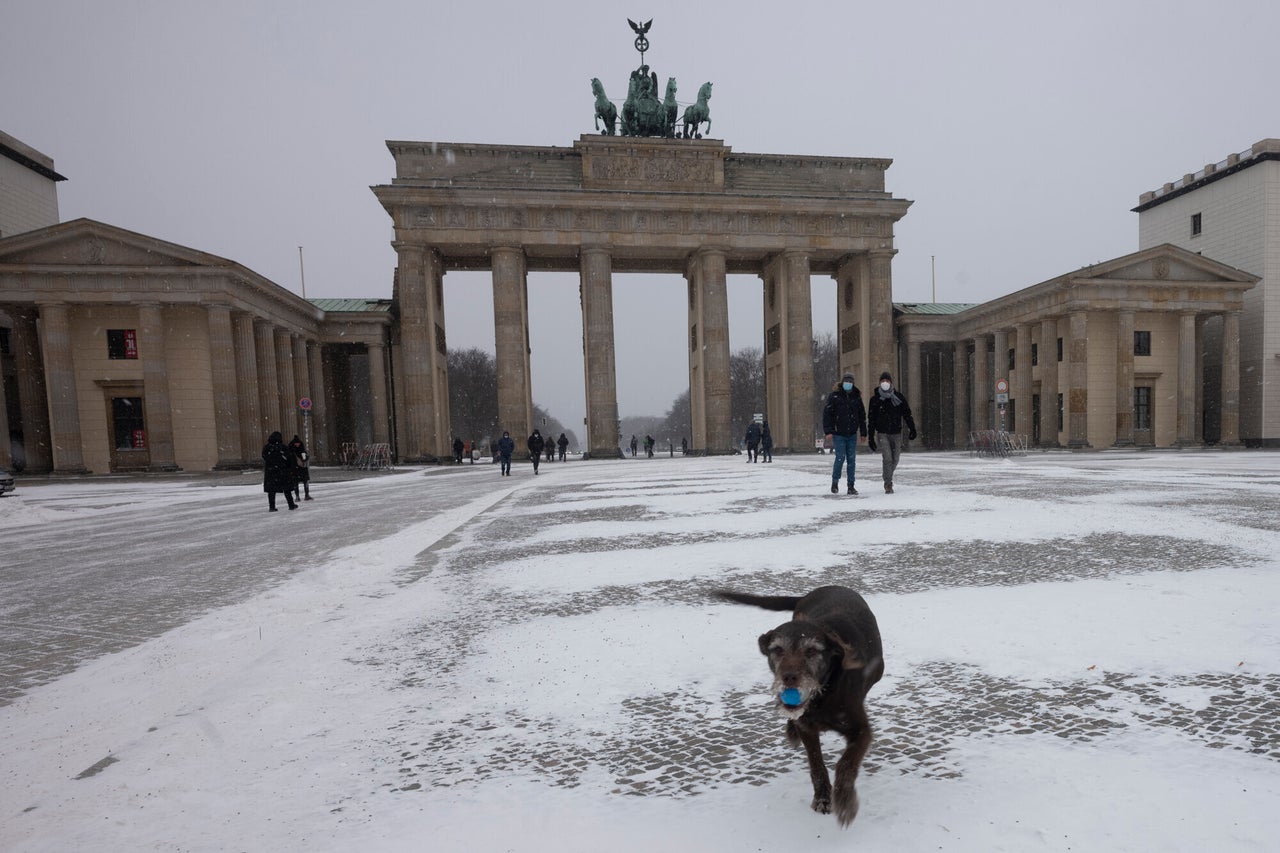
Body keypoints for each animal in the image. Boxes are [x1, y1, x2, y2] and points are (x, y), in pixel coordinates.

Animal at [716, 584, 885, 824]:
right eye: (777, 649)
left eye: (812, 651)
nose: (789, 677)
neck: (823, 694)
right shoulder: (807, 728)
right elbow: (816, 764)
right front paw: (823, 798)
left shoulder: (861, 730)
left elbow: (846, 763)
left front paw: (844, 801)